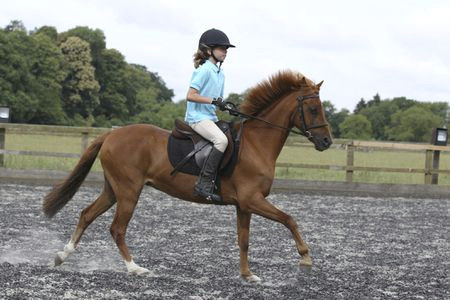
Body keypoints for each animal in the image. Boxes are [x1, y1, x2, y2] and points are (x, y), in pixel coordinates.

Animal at [43, 71, 330, 282]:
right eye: (313, 109)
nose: (326, 142)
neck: (256, 144)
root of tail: (111, 134)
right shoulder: (252, 199)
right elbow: (289, 219)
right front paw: (306, 258)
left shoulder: (244, 205)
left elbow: (244, 241)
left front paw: (247, 275)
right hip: (129, 191)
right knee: (117, 229)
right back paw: (135, 268)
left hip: (113, 189)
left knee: (87, 214)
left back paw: (62, 256)